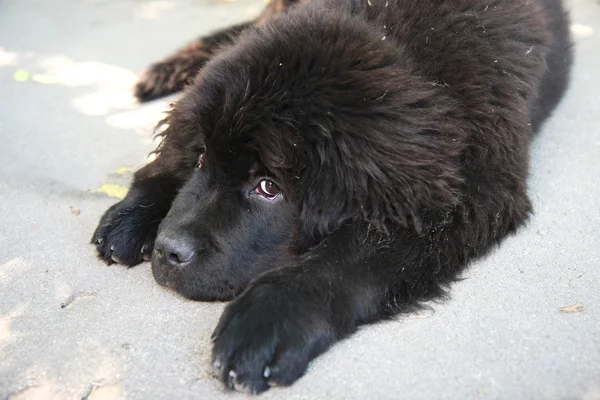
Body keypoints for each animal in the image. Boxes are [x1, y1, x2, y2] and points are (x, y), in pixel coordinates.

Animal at [92, 0, 572, 394]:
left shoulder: (462, 195)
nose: (166, 250)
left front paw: (268, 320)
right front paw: (132, 213)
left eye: (269, 187)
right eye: (203, 157)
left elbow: (347, 257)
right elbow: (172, 151)